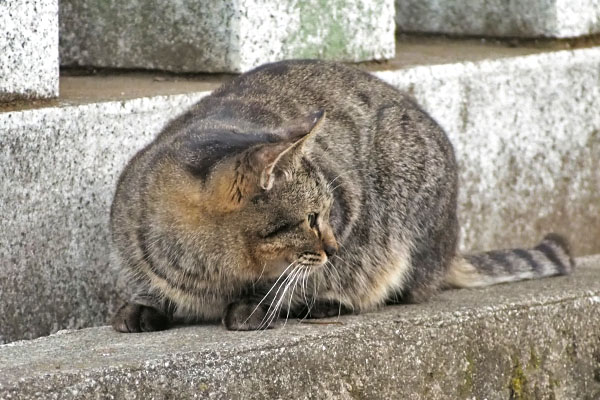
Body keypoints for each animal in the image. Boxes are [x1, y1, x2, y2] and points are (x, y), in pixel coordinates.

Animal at [110, 59, 576, 332]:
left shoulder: (349, 206)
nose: (332, 248)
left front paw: (260, 304)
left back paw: (324, 303)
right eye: (309, 218)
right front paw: (145, 304)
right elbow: (150, 285)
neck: (211, 271)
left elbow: (291, 280)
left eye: (325, 214)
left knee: (403, 287)